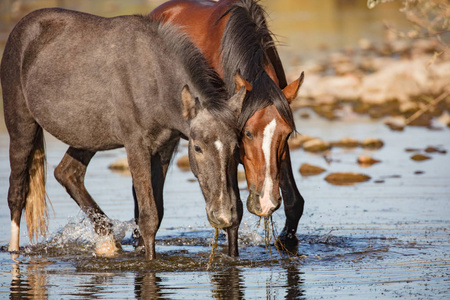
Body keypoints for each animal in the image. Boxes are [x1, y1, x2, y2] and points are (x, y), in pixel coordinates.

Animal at [0, 7, 246, 260]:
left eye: (236, 147)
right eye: (197, 148)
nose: (223, 215)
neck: (155, 78)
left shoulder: (164, 148)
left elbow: (154, 212)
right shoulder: (136, 146)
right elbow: (149, 217)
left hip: (87, 136)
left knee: (67, 173)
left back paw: (107, 241)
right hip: (21, 128)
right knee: (16, 192)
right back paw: (14, 251)